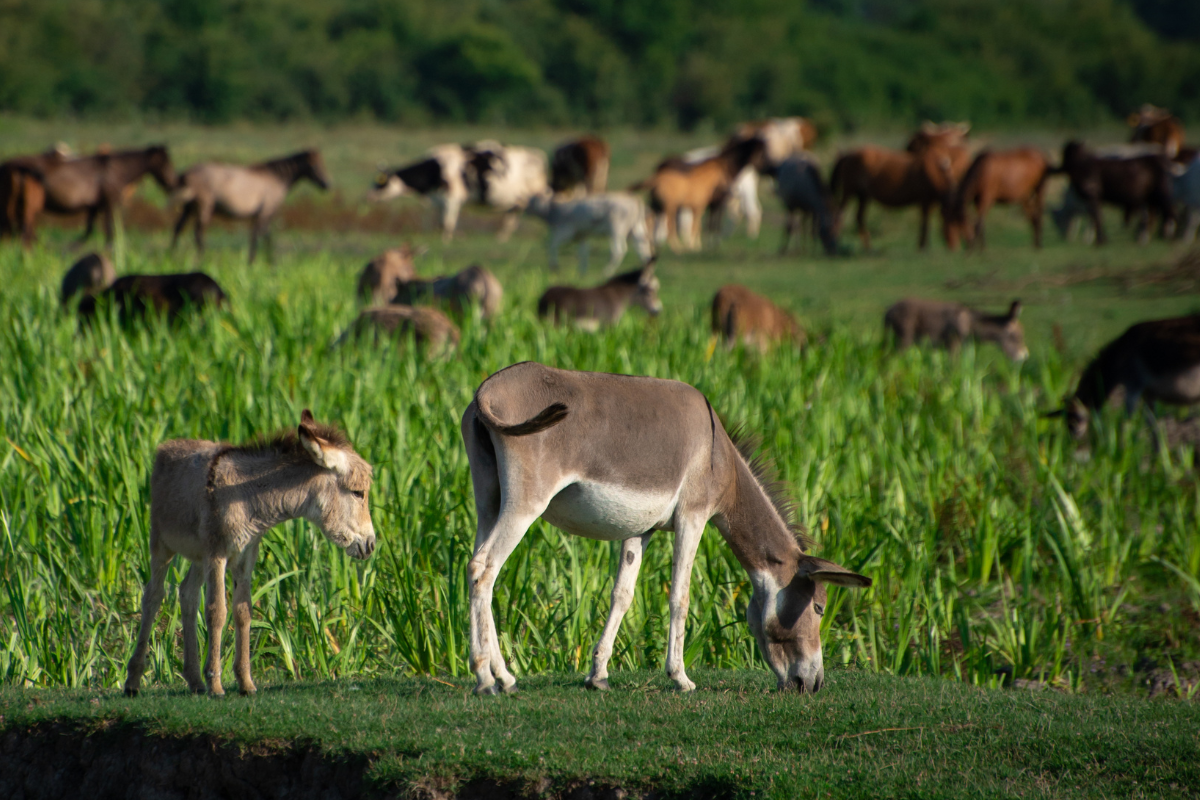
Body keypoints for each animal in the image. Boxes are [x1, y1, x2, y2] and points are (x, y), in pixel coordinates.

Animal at [124, 410, 372, 695]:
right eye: (358, 493)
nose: (371, 545)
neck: (247, 496)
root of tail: (167, 447)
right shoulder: (217, 555)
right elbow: (217, 612)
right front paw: (216, 684)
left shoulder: (245, 556)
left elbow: (243, 612)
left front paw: (245, 683)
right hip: (162, 544)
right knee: (153, 596)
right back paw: (133, 681)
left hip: (198, 556)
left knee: (187, 594)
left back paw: (195, 681)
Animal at [460, 362, 873, 695]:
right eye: (819, 607)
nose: (814, 685)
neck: (718, 456)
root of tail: (487, 389)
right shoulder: (693, 517)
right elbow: (680, 596)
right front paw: (680, 677)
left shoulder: (640, 530)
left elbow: (622, 595)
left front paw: (598, 675)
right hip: (526, 504)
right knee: (485, 569)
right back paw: (485, 679)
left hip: (489, 502)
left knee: (478, 567)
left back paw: (503, 678)